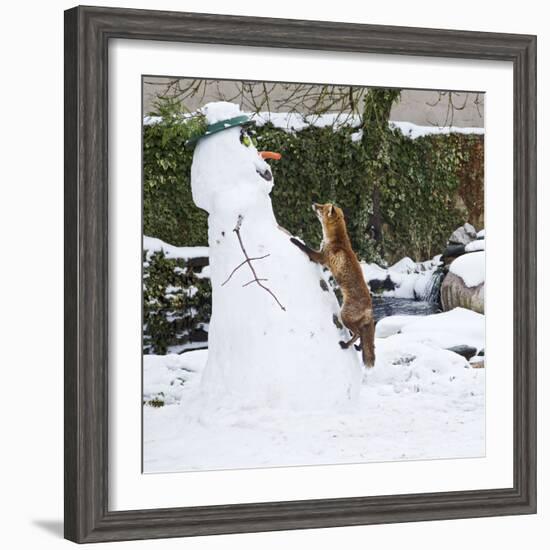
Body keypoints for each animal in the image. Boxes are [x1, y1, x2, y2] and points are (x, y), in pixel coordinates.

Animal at [292, 205, 378, 368]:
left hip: (344, 316)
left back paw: (346, 345)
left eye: (322, 207)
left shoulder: (321, 258)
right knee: (361, 338)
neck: (336, 240)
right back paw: (357, 347)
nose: (314, 203)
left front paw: (295, 240)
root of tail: (370, 308)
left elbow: (306, 248)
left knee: (358, 334)